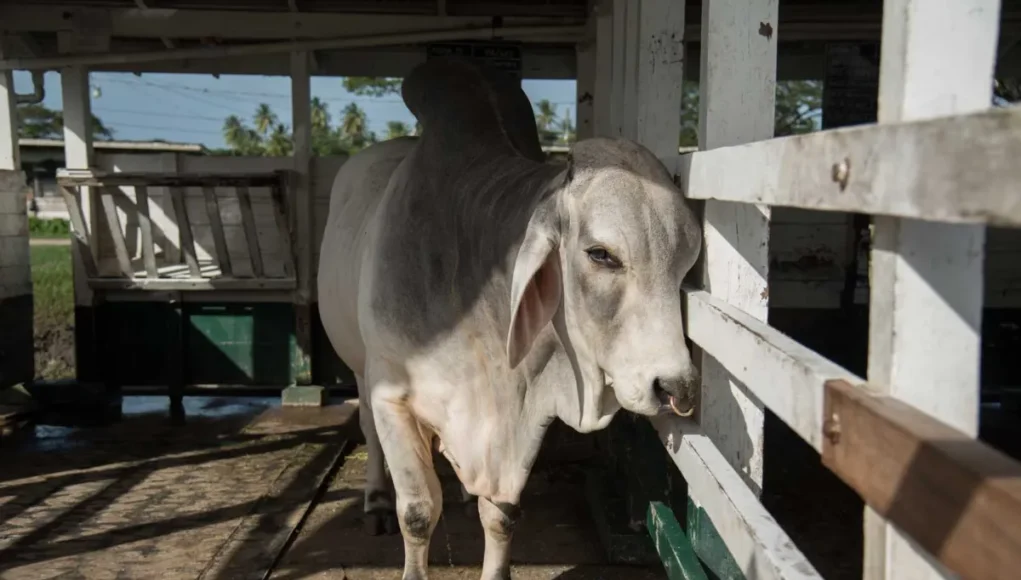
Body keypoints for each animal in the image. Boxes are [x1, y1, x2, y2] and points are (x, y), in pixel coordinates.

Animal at [317, 59, 702, 580]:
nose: (676, 387)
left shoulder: (522, 416)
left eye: (687, 263)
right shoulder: (391, 395)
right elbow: (417, 511)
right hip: (360, 367)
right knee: (369, 435)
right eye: (601, 254)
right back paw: (375, 499)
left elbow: (501, 515)